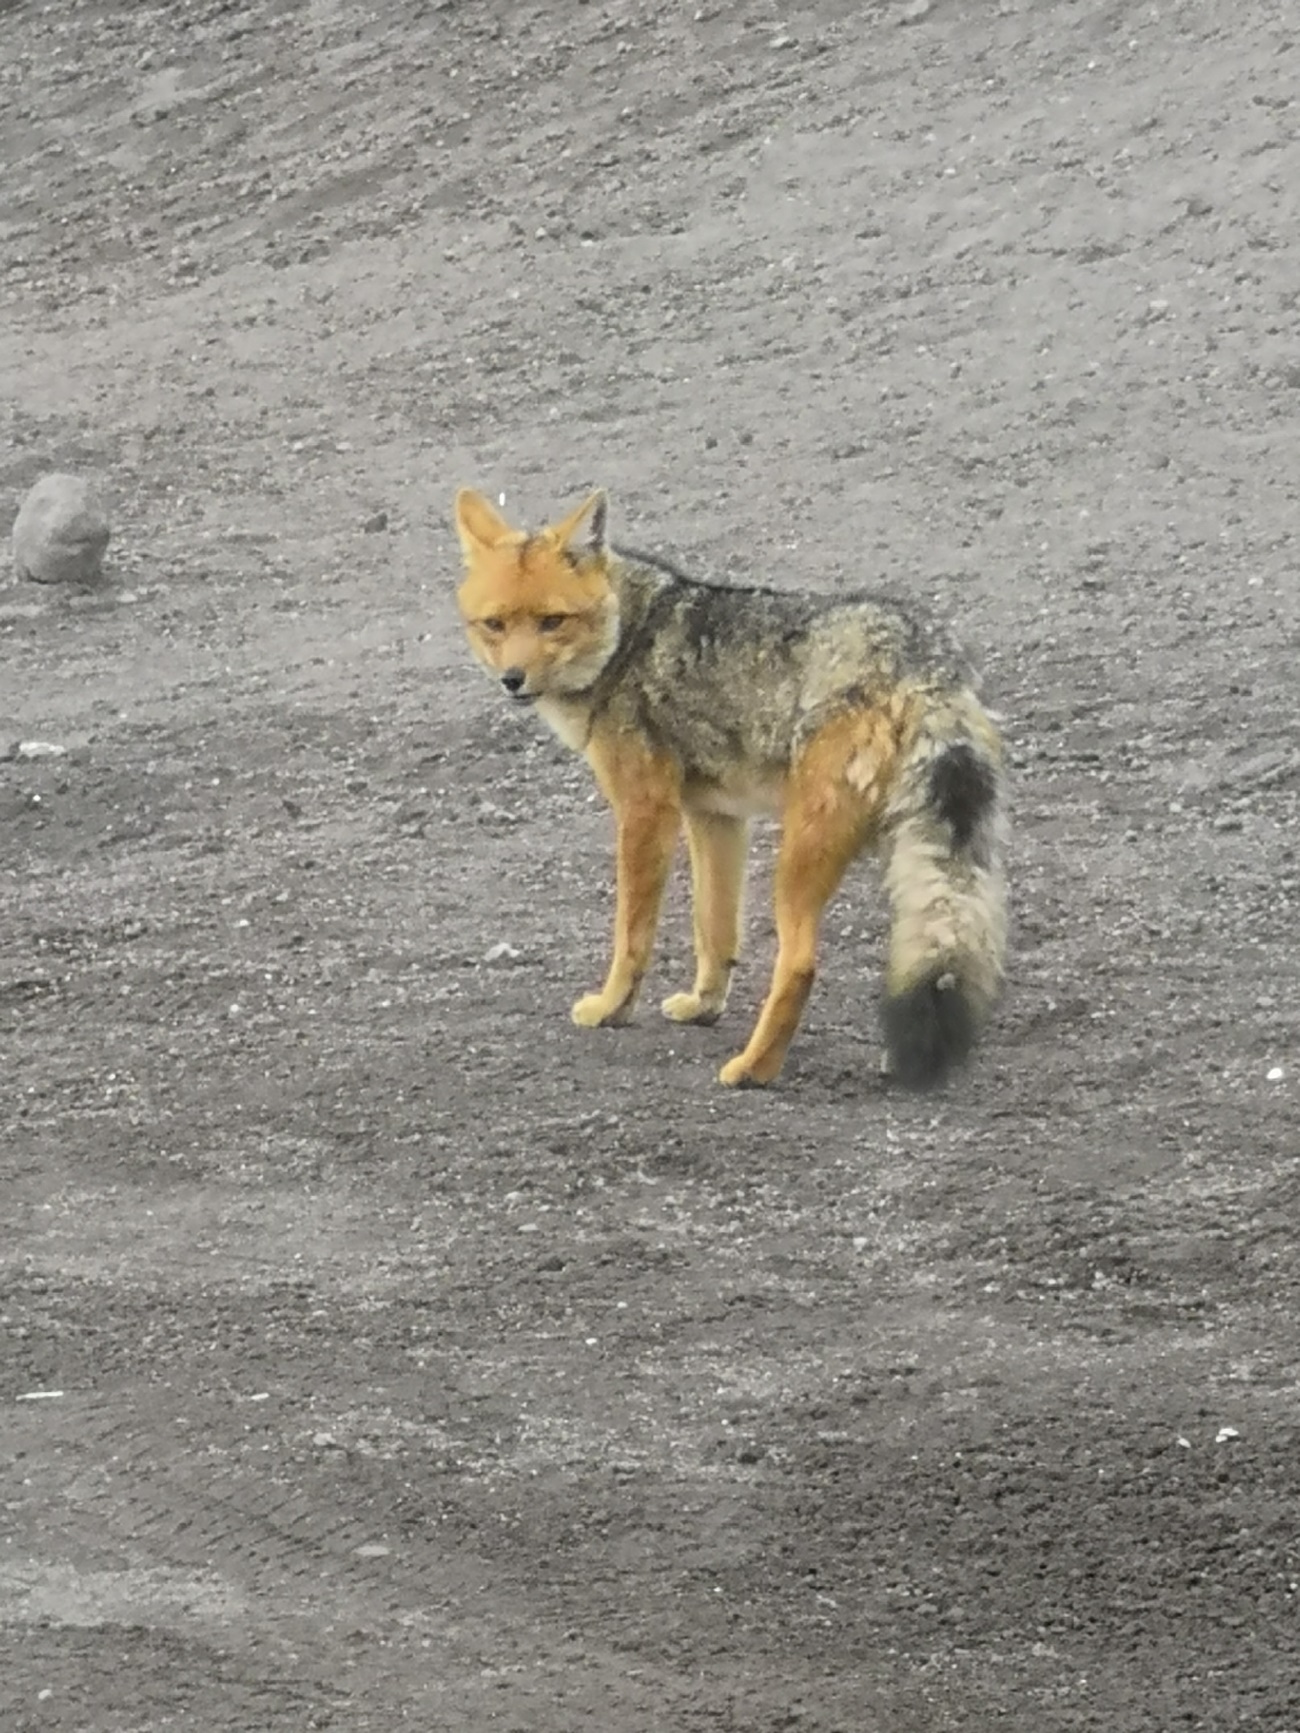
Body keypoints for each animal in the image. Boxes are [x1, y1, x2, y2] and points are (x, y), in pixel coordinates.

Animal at [454, 485, 1012, 1081]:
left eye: (551, 621)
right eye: (494, 626)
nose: (512, 680)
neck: (628, 639)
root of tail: (923, 661)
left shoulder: (646, 809)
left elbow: (632, 934)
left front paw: (610, 1008)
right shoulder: (715, 816)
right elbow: (714, 928)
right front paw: (704, 1004)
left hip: (801, 855)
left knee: (801, 962)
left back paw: (753, 1068)